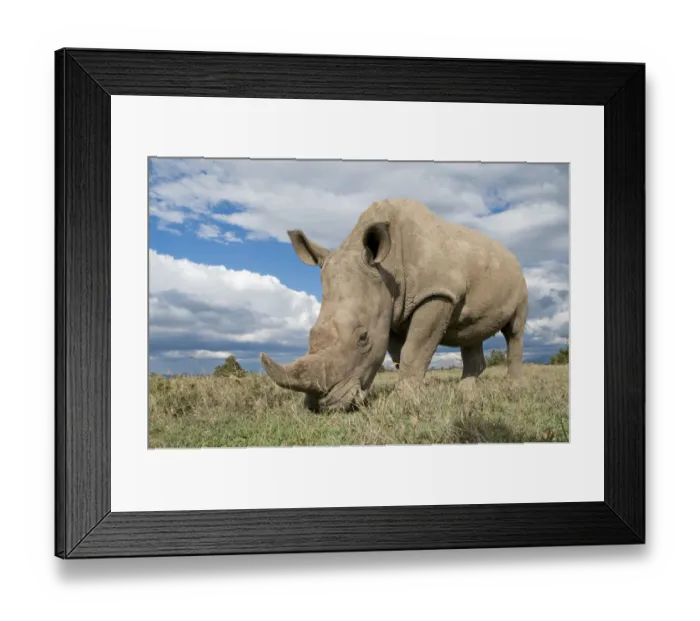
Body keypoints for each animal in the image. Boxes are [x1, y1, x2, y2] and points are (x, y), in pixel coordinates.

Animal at [260, 198, 528, 412]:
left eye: (363, 338)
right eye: (310, 334)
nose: (319, 407)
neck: (387, 269)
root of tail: (512, 255)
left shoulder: (437, 293)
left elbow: (414, 350)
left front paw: (401, 403)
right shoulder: (391, 310)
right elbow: (402, 355)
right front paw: (411, 395)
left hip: (519, 279)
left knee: (514, 331)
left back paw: (514, 389)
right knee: (470, 332)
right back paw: (466, 394)